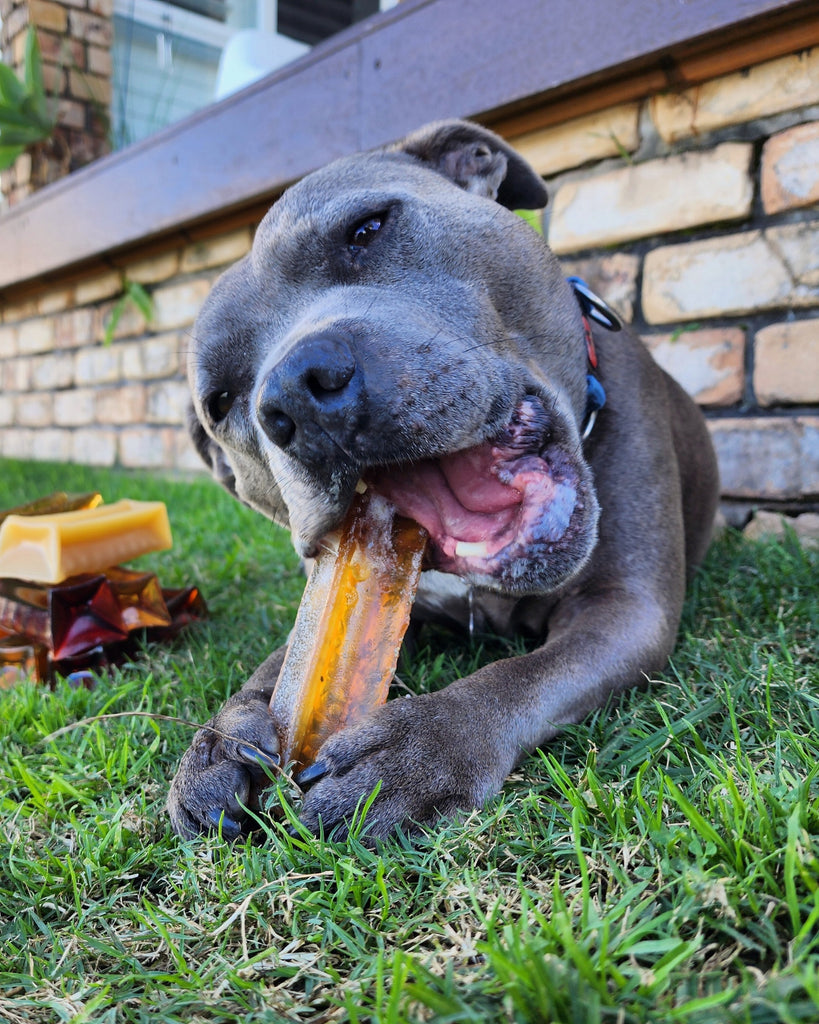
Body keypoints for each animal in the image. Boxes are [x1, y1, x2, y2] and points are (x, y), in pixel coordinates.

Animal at [169, 121, 720, 839]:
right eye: (221, 400)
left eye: (367, 229)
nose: (296, 394)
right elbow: (276, 661)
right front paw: (224, 735)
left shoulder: (627, 608)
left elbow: (518, 674)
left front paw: (420, 749)